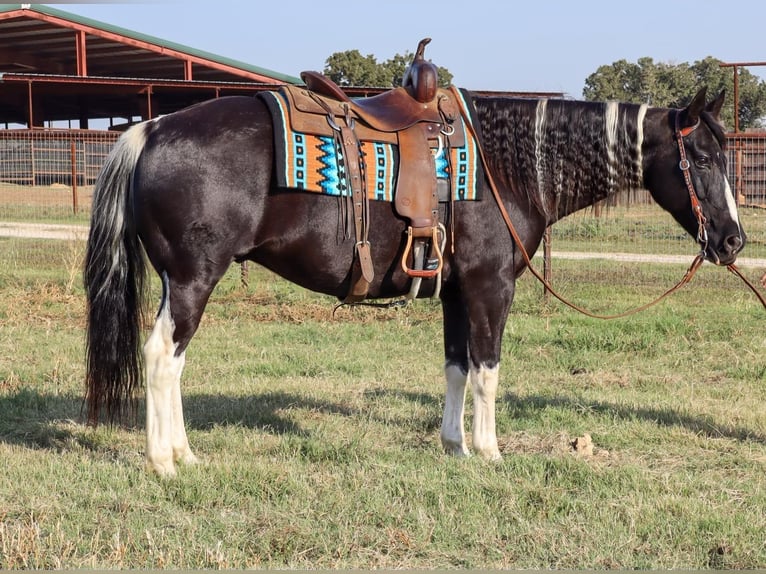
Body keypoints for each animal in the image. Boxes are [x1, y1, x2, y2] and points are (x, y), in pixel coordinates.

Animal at [82, 83, 744, 474]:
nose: (734, 241)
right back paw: (166, 460)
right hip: (193, 280)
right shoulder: (490, 286)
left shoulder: (455, 291)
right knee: (161, 357)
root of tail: (152, 129)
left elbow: (455, 368)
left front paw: (454, 445)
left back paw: (183, 453)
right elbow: (487, 371)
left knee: (168, 361)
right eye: (702, 158)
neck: (505, 167)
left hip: (180, 281)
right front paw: (489, 451)